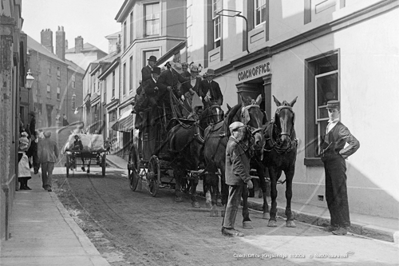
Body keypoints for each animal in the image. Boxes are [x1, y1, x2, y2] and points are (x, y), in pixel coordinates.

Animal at [264, 95, 298, 227]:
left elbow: (289, 193)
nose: (284, 140)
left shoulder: (290, 169)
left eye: (292, 115)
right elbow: (273, 192)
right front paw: (272, 217)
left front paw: (289, 217)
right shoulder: (272, 168)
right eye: (277, 115)